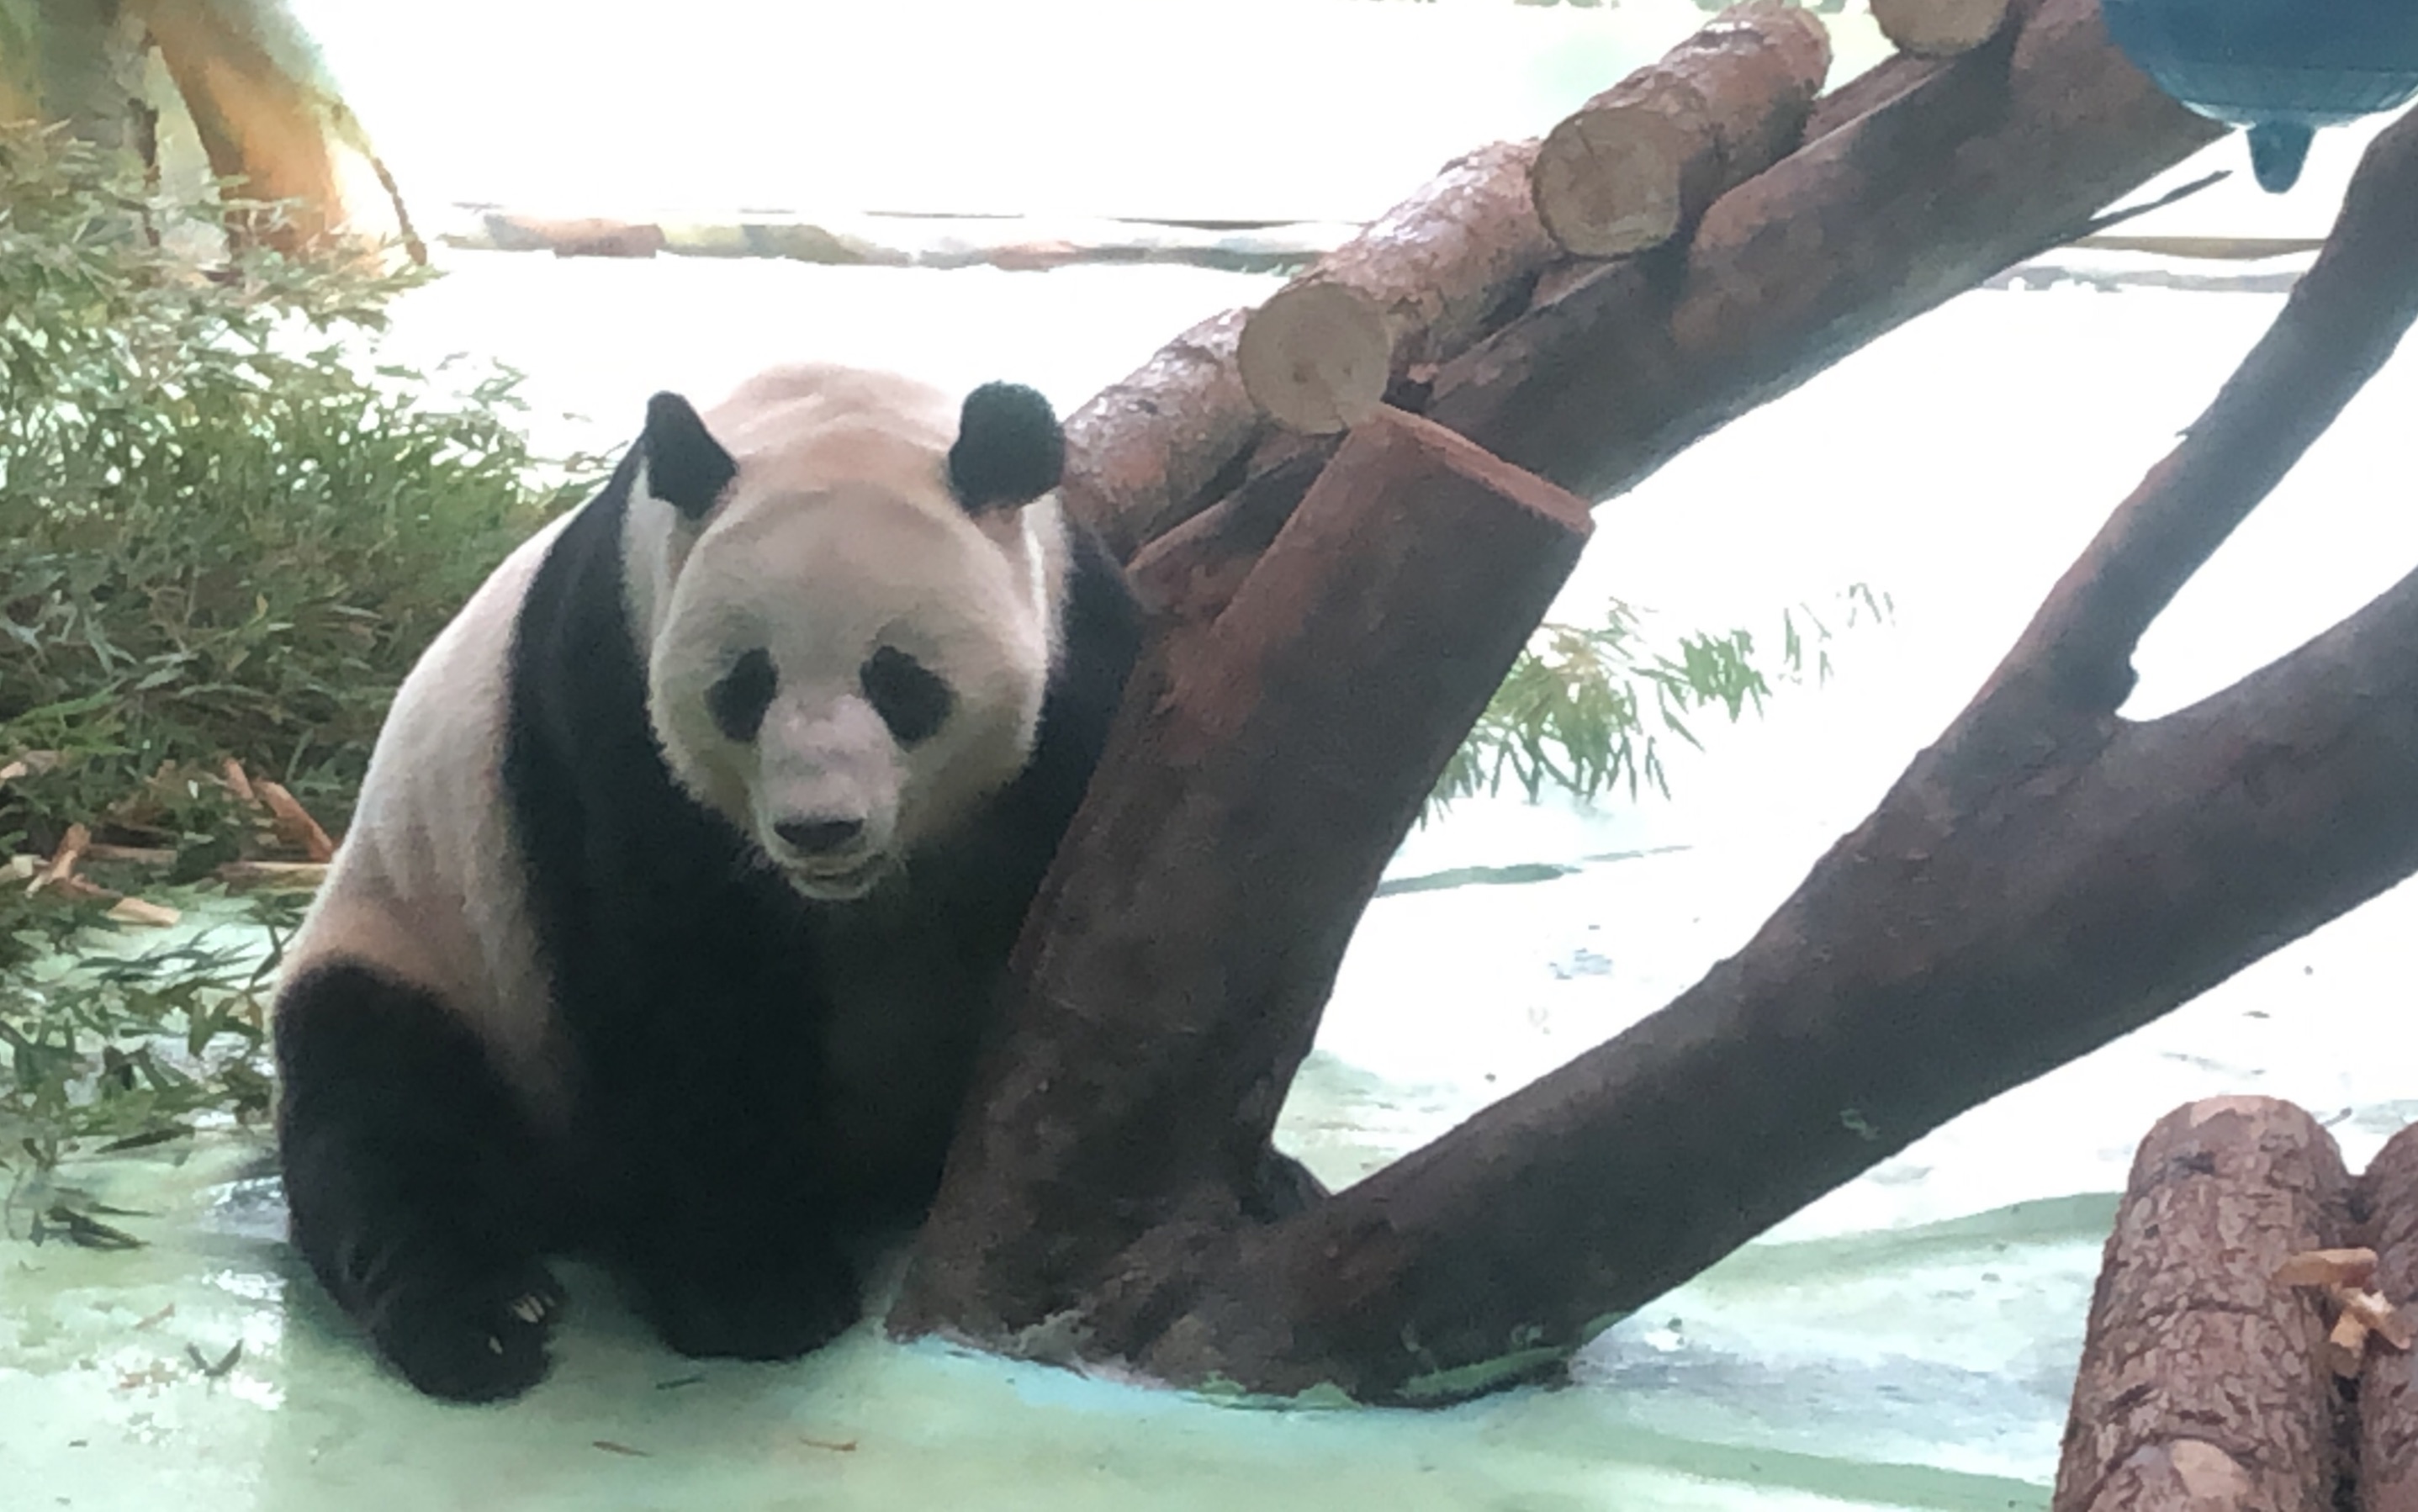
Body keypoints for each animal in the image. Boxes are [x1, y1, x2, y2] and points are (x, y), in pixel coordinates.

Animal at [269, 360, 1156, 1393]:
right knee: (383, 1107)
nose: (820, 828)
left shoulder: (1081, 665)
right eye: (746, 686)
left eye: (899, 682)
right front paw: (755, 1293)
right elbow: (680, 988)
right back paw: (480, 1320)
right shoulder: (612, 705)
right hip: (422, 937)